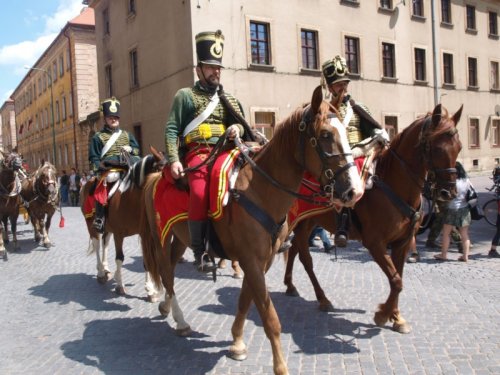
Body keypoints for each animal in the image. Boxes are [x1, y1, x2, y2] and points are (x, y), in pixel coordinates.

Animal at [139, 86, 362, 375]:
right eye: (325, 135)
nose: (354, 191)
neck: (258, 190)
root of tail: (157, 176)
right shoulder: (251, 261)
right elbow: (269, 317)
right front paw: (280, 366)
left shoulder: (260, 261)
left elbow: (245, 300)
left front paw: (236, 342)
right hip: (160, 238)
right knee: (165, 273)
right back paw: (180, 319)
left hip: (180, 238)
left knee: (172, 269)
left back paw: (167, 306)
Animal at [284, 103, 462, 334]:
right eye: (436, 148)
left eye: (458, 147)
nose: (448, 192)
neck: (393, 185)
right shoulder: (375, 243)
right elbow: (396, 280)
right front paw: (383, 314)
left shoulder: (402, 243)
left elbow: (398, 278)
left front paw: (396, 317)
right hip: (302, 221)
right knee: (305, 258)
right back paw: (322, 299)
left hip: (308, 221)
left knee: (294, 249)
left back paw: (290, 285)